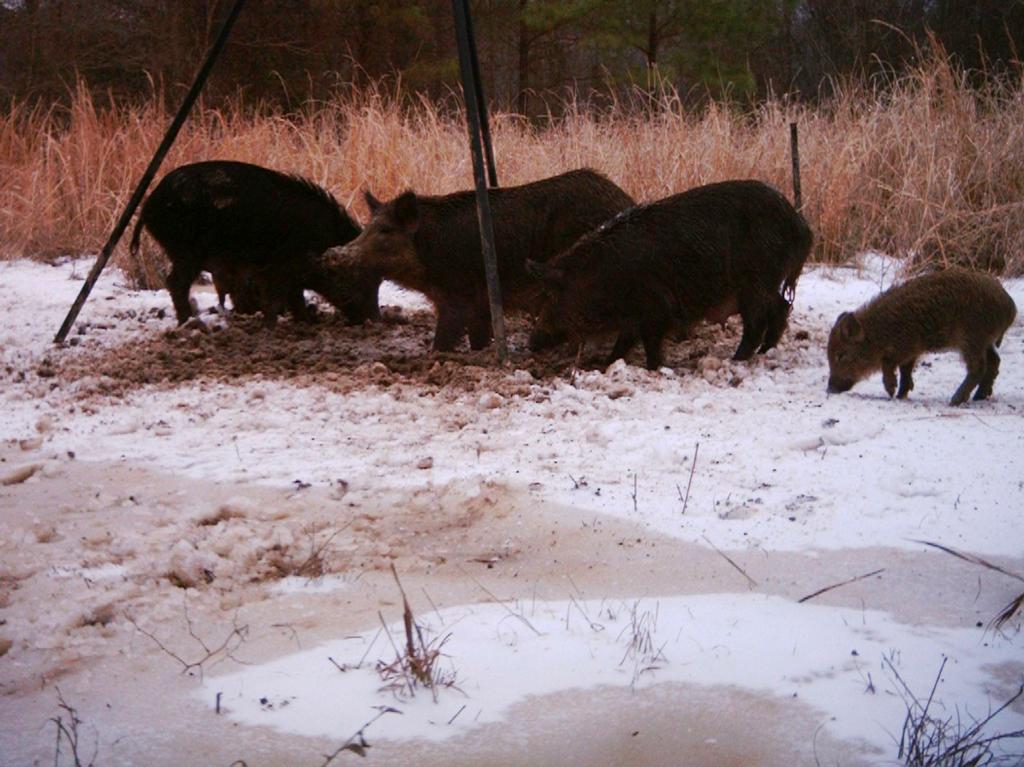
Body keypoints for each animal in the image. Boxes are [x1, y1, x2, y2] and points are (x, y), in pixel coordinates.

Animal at [129, 160, 380, 325]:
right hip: (186, 252)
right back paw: (191, 323)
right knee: (175, 282)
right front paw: (304, 322)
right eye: (357, 274)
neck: (319, 239)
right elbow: (287, 296)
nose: (374, 319)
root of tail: (149, 205)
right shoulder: (284, 266)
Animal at [329, 169, 635, 351]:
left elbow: (445, 336)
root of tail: (626, 201)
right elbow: (478, 337)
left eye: (385, 230)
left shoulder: (458, 295)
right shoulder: (480, 304)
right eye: (367, 227)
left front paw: (436, 355)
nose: (335, 254)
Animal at [525, 180, 813, 370]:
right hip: (766, 282)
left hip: (756, 280)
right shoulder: (632, 317)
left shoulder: (656, 307)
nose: (531, 342)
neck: (602, 279)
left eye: (551, 297)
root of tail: (799, 224)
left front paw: (652, 368)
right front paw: (606, 365)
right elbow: (622, 344)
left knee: (758, 320)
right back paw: (766, 351)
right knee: (781, 307)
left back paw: (736, 359)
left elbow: (650, 342)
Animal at [826, 269, 1017, 405]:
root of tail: (1010, 307)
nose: (829, 390)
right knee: (994, 361)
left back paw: (955, 401)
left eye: (841, 355)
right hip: (985, 341)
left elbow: (890, 364)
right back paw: (979, 397)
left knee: (978, 367)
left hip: (972, 338)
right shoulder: (912, 350)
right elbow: (905, 368)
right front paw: (901, 395)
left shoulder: (907, 345)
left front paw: (891, 391)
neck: (880, 331)